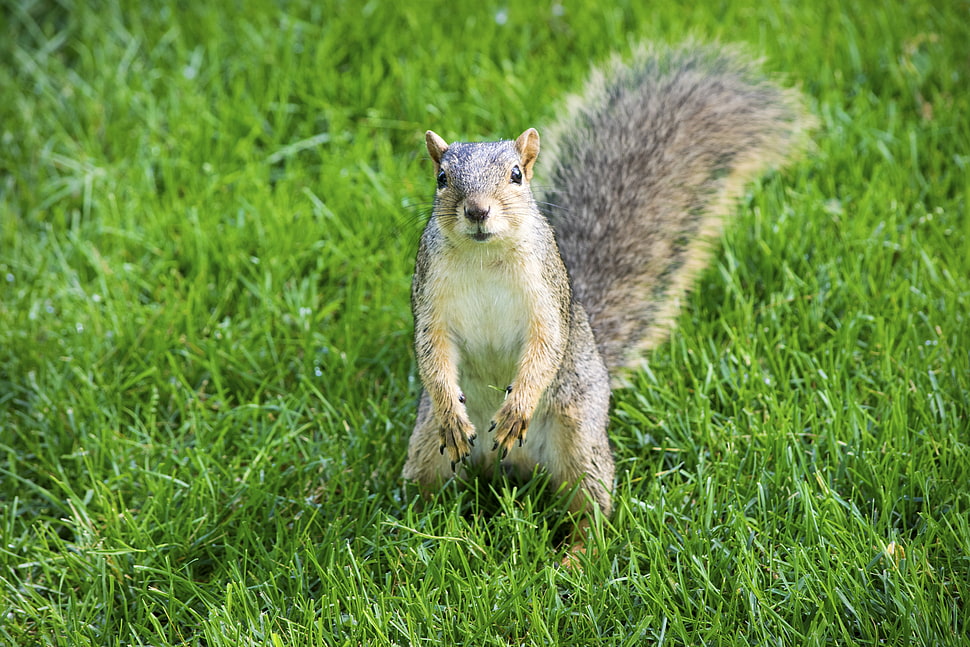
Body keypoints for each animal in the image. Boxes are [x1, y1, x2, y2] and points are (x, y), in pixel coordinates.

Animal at [398, 44, 808, 552]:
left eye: (516, 175)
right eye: (440, 177)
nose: (477, 211)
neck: (484, 256)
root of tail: (510, 467)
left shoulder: (548, 295)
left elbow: (547, 345)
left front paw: (516, 408)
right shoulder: (429, 295)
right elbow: (431, 351)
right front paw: (452, 414)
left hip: (580, 434)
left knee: (590, 507)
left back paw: (575, 554)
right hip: (425, 446)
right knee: (428, 485)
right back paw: (423, 532)